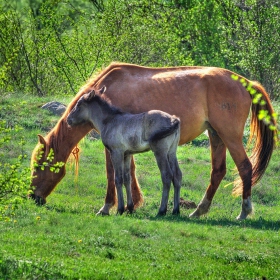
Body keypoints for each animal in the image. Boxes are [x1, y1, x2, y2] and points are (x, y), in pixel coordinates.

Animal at [66, 86, 183, 215]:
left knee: (166, 176)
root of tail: (174, 119)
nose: (68, 119)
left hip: (160, 152)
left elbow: (118, 178)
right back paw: (176, 210)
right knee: (177, 175)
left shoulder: (116, 152)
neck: (109, 121)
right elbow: (127, 178)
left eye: (79, 104)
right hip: (171, 152)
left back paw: (162, 210)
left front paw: (120, 209)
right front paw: (130, 207)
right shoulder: (127, 154)